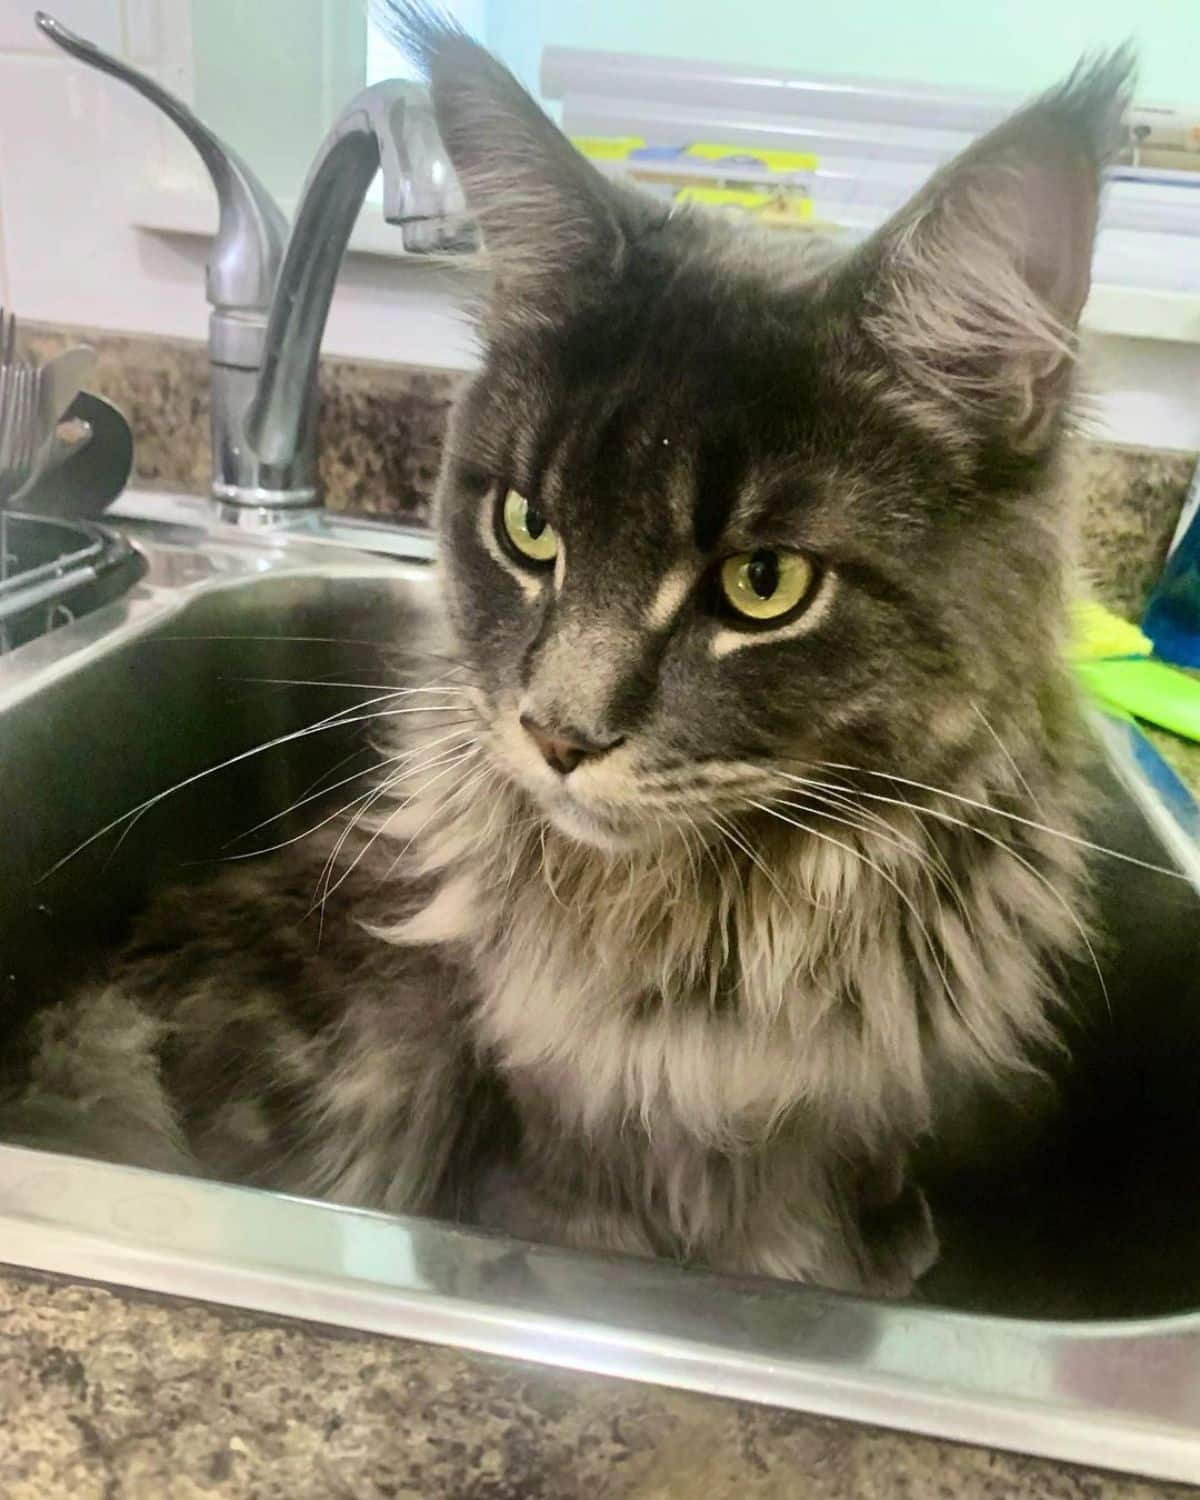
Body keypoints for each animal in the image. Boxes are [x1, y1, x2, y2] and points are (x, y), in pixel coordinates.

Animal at [0, 0, 1128, 1296]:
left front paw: (876, 1246)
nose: (556, 735)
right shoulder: (554, 1139)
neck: (731, 939)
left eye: (765, 585)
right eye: (528, 528)